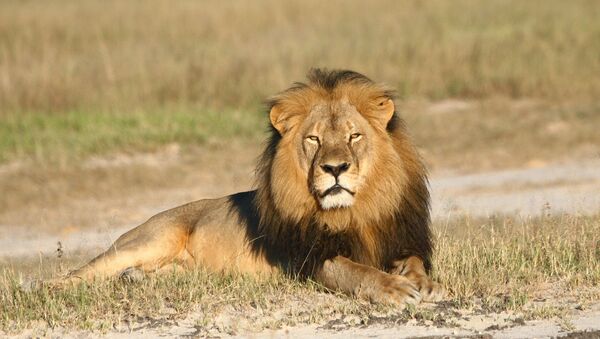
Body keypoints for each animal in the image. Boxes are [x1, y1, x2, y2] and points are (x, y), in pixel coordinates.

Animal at [52, 69, 446, 306]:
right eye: (314, 139)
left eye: (354, 136)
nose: (335, 169)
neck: (354, 211)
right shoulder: (309, 259)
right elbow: (355, 271)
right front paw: (394, 288)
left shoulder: (400, 238)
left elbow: (413, 261)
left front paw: (424, 283)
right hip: (149, 239)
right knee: (79, 273)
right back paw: (49, 290)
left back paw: (134, 279)